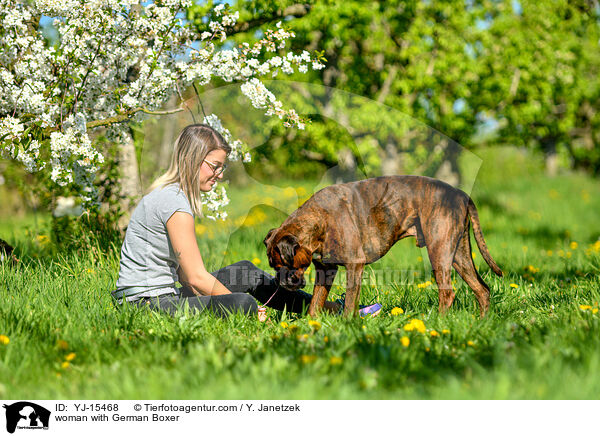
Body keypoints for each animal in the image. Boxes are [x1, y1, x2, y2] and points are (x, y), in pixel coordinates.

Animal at [264, 176, 504, 316]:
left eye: (285, 264)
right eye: (274, 267)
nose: (280, 281)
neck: (318, 220)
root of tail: (461, 195)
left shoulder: (354, 265)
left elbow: (349, 302)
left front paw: (347, 323)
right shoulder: (326, 270)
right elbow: (316, 302)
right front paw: (312, 326)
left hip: (440, 252)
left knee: (448, 294)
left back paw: (439, 323)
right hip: (459, 255)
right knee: (482, 290)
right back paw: (482, 323)